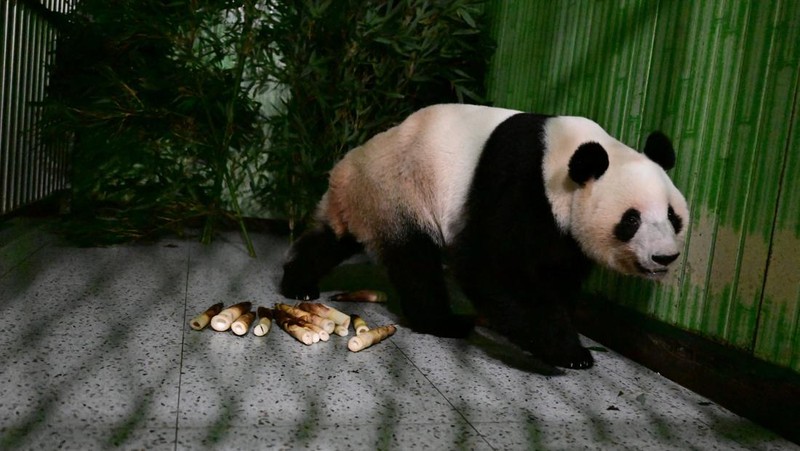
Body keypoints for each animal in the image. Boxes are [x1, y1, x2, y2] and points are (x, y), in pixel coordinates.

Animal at [280, 104, 689, 369]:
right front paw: (568, 351)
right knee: (416, 261)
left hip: (367, 201)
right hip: (399, 191)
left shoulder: (563, 230)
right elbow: (489, 264)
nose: (664, 257)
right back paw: (444, 322)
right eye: (631, 220)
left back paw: (298, 283)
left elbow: (556, 272)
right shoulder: (520, 180)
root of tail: (346, 168)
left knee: (330, 240)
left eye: (673, 216)